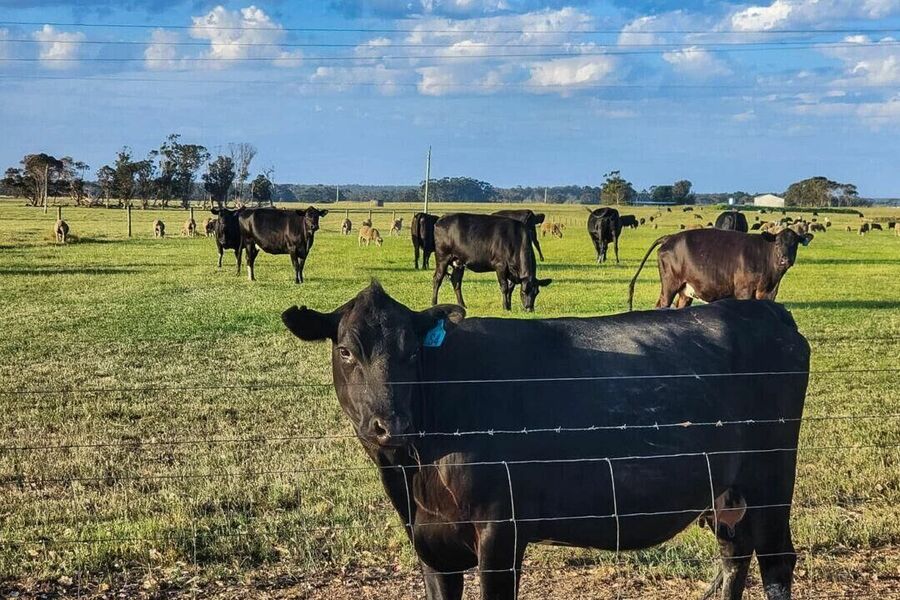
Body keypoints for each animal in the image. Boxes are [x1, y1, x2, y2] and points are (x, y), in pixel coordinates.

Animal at [284, 284, 812, 600]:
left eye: (412, 352)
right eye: (346, 350)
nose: (391, 423)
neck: (415, 477)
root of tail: (763, 309)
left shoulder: (502, 532)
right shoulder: (431, 547)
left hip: (771, 477)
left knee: (776, 560)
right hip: (727, 489)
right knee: (735, 552)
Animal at [624, 229, 816, 312]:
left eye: (794, 244)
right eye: (777, 243)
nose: (785, 259)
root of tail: (671, 237)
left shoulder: (768, 294)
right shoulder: (744, 290)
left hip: (685, 291)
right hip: (669, 285)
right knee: (661, 305)